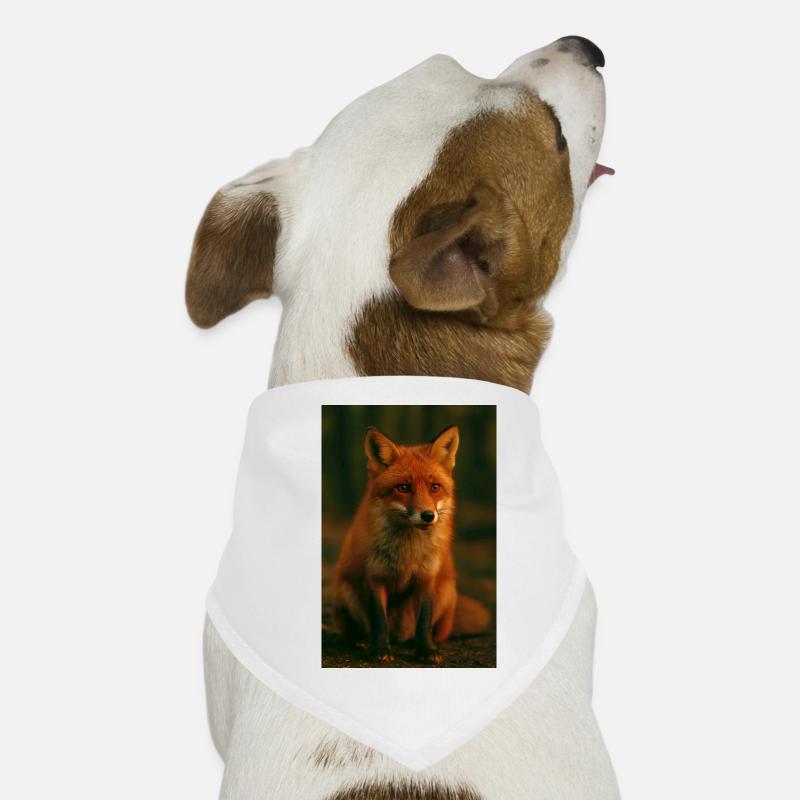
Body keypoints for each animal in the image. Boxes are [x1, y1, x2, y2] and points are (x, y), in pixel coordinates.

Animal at [332, 425, 491, 665]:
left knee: (431, 631)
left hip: (447, 591)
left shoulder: (427, 578)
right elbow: (378, 619)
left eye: (435, 487)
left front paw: (426, 650)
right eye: (404, 487)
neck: (408, 550)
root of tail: (398, 636)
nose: (428, 515)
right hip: (346, 589)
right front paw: (380, 649)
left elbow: (424, 621)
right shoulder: (375, 576)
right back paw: (360, 640)